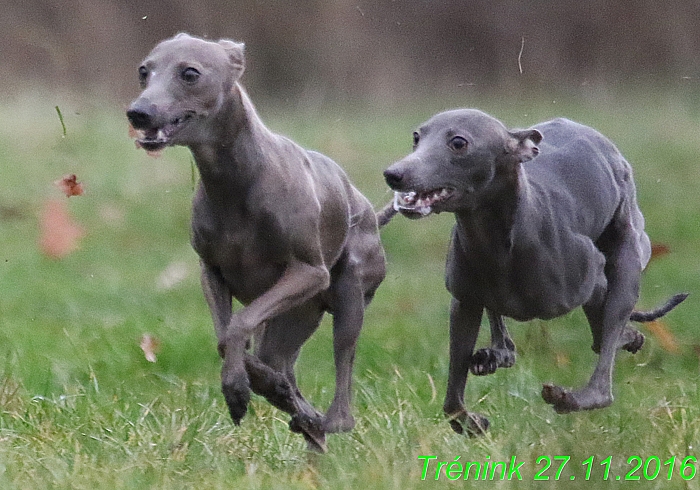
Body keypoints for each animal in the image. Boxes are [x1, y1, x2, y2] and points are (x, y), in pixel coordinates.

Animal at [127, 32, 388, 450]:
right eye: (143, 71)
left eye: (190, 73)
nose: (138, 113)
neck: (236, 181)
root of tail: (365, 208)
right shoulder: (211, 272)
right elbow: (226, 338)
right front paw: (261, 386)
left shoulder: (308, 273)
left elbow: (237, 327)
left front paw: (237, 390)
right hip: (294, 317)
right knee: (279, 362)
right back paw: (298, 409)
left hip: (347, 293)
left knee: (342, 376)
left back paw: (326, 418)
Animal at [382, 109, 684, 434]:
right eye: (417, 137)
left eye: (459, 143)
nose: (393, 174)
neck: (502, 240)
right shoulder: (464, 302)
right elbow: (452, 397)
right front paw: (471, 421)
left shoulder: (593, 275)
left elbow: (606, 333)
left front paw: (624, 338)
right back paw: (497, 353)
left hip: (626, 254)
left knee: (604, 370)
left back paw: (578, 392)